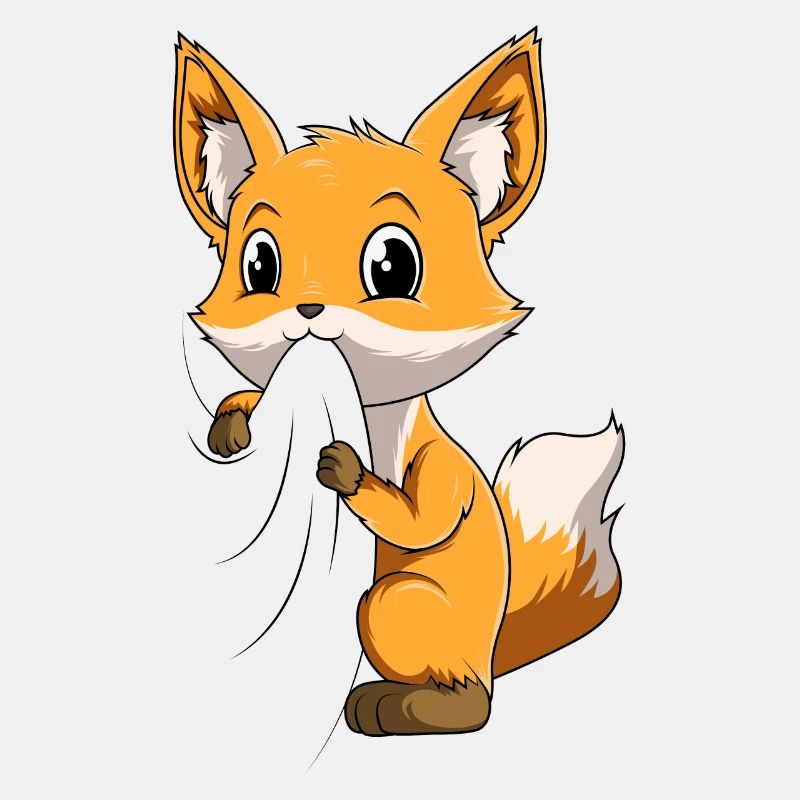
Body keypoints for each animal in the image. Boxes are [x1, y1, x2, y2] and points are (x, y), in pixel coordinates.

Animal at [174, 29, 625, 736]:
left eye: (393, 265)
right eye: (260, 264)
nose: (309, 309)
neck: (367, 411)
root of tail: (491, 650)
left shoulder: (443, 471)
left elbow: (421, 523)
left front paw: (344, 468)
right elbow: (253, 399)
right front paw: (232, 424)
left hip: (393, 600)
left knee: (473, 704)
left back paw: (398, 707)